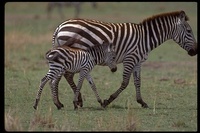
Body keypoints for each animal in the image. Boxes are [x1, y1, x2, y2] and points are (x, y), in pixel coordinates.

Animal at [50, 10, 198, 108]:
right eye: (189, 31)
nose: (195, 51)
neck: (145, 38)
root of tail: (60, 26)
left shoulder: (138, 61)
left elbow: (138, 82)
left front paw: (141, 102)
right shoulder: (130, 59)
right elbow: (125, 82)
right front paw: (108, 100)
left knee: (62, 76)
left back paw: (63, 102)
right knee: (65, 76)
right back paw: (68, 102)